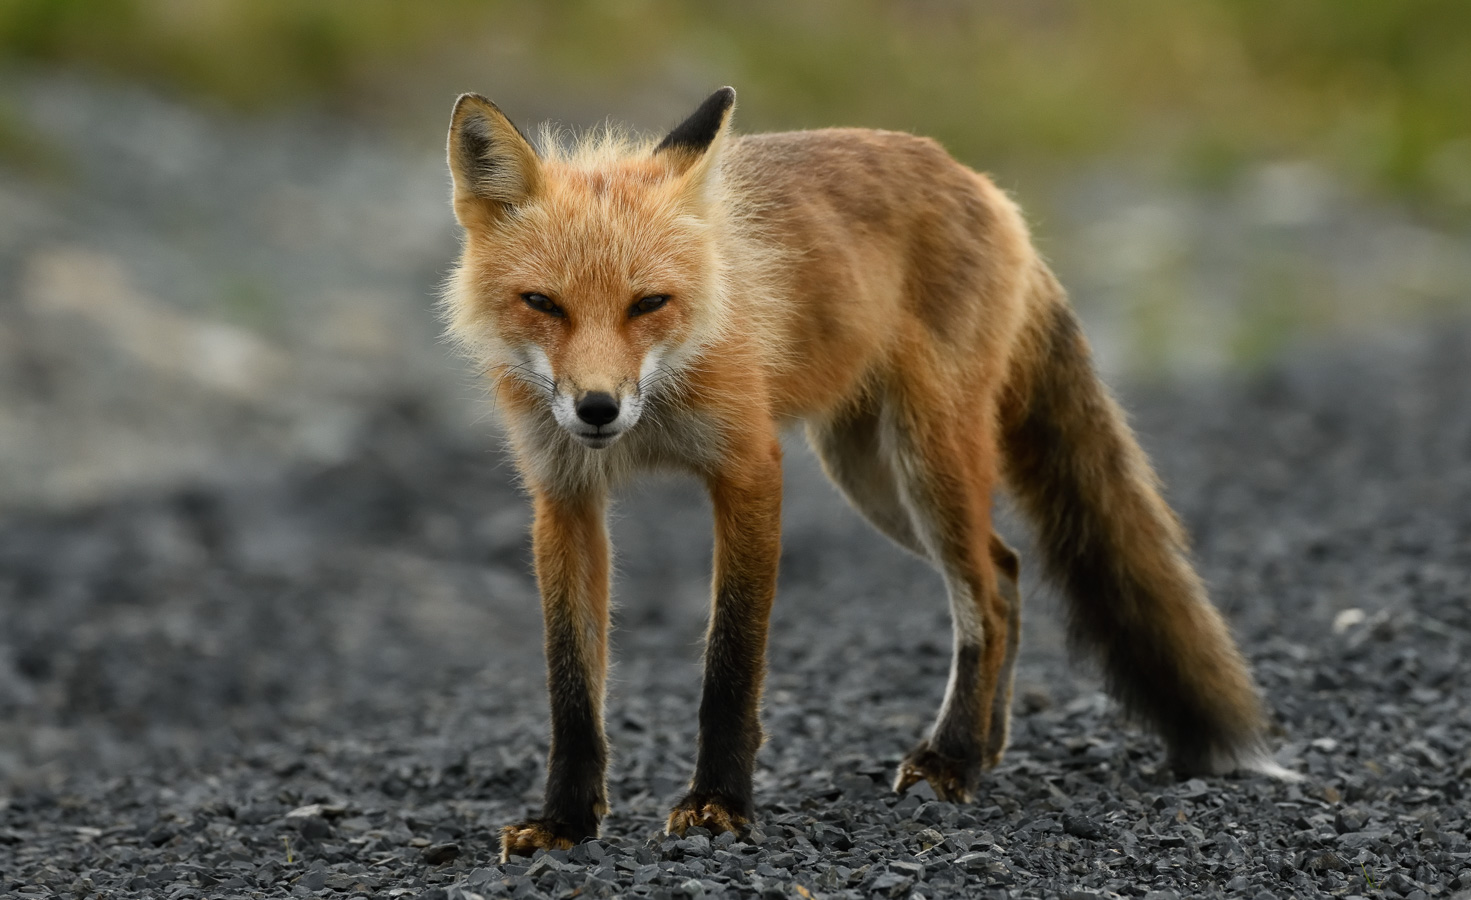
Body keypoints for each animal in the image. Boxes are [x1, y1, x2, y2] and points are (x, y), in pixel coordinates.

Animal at [438, 87, 1288, 858]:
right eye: (542, 303)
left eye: (648, 303)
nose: (596, 409)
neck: (659, 404)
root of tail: (981, 185)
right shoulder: (564, 499)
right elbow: (571, 685)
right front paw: (565, 821)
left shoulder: (750, 469)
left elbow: (730, 664)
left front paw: (719, 805)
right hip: (869, 479)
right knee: (1007, 570)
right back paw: (983, 745)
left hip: (927, 460)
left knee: (983, 595)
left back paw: (949, 759)